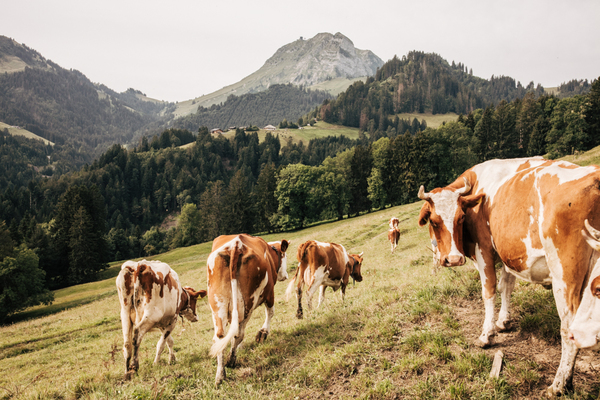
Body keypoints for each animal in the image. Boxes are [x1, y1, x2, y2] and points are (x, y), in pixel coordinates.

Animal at [206, 233, 290, 386]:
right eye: (285, 255)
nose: (285, 275)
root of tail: (236, 245)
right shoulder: (270, 292)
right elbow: (271, 312)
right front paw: (262, 333)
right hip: (248, 304)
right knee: (239, 333)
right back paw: (231, 361)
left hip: (218, 304)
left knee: (220, 337)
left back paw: (220, 375)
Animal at [418, 157, 600, 396]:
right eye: (434, 221)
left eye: (461, 218)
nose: (454, 259)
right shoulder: (506, 254)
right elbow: (507, 286)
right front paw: (503, 321)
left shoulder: (484, 250)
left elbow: (489, 291)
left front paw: (487, 335)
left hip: (565, 277)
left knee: (568, 328)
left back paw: (559, 384)